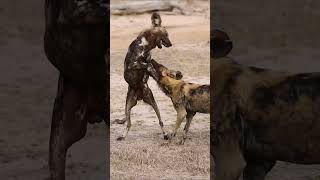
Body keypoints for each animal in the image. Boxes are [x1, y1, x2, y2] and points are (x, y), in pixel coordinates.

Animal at [117, 12, 174, 141]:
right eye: (166, 34)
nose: (171, 44)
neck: (146, 45)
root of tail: (139, 97)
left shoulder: (149, 62)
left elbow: (152, 68)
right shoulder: (134, 64)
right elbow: (148, 65)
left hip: (153, 103)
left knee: (160, 121)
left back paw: (165, 135)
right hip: (127, 106)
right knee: (128, 123)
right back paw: (122, 136)